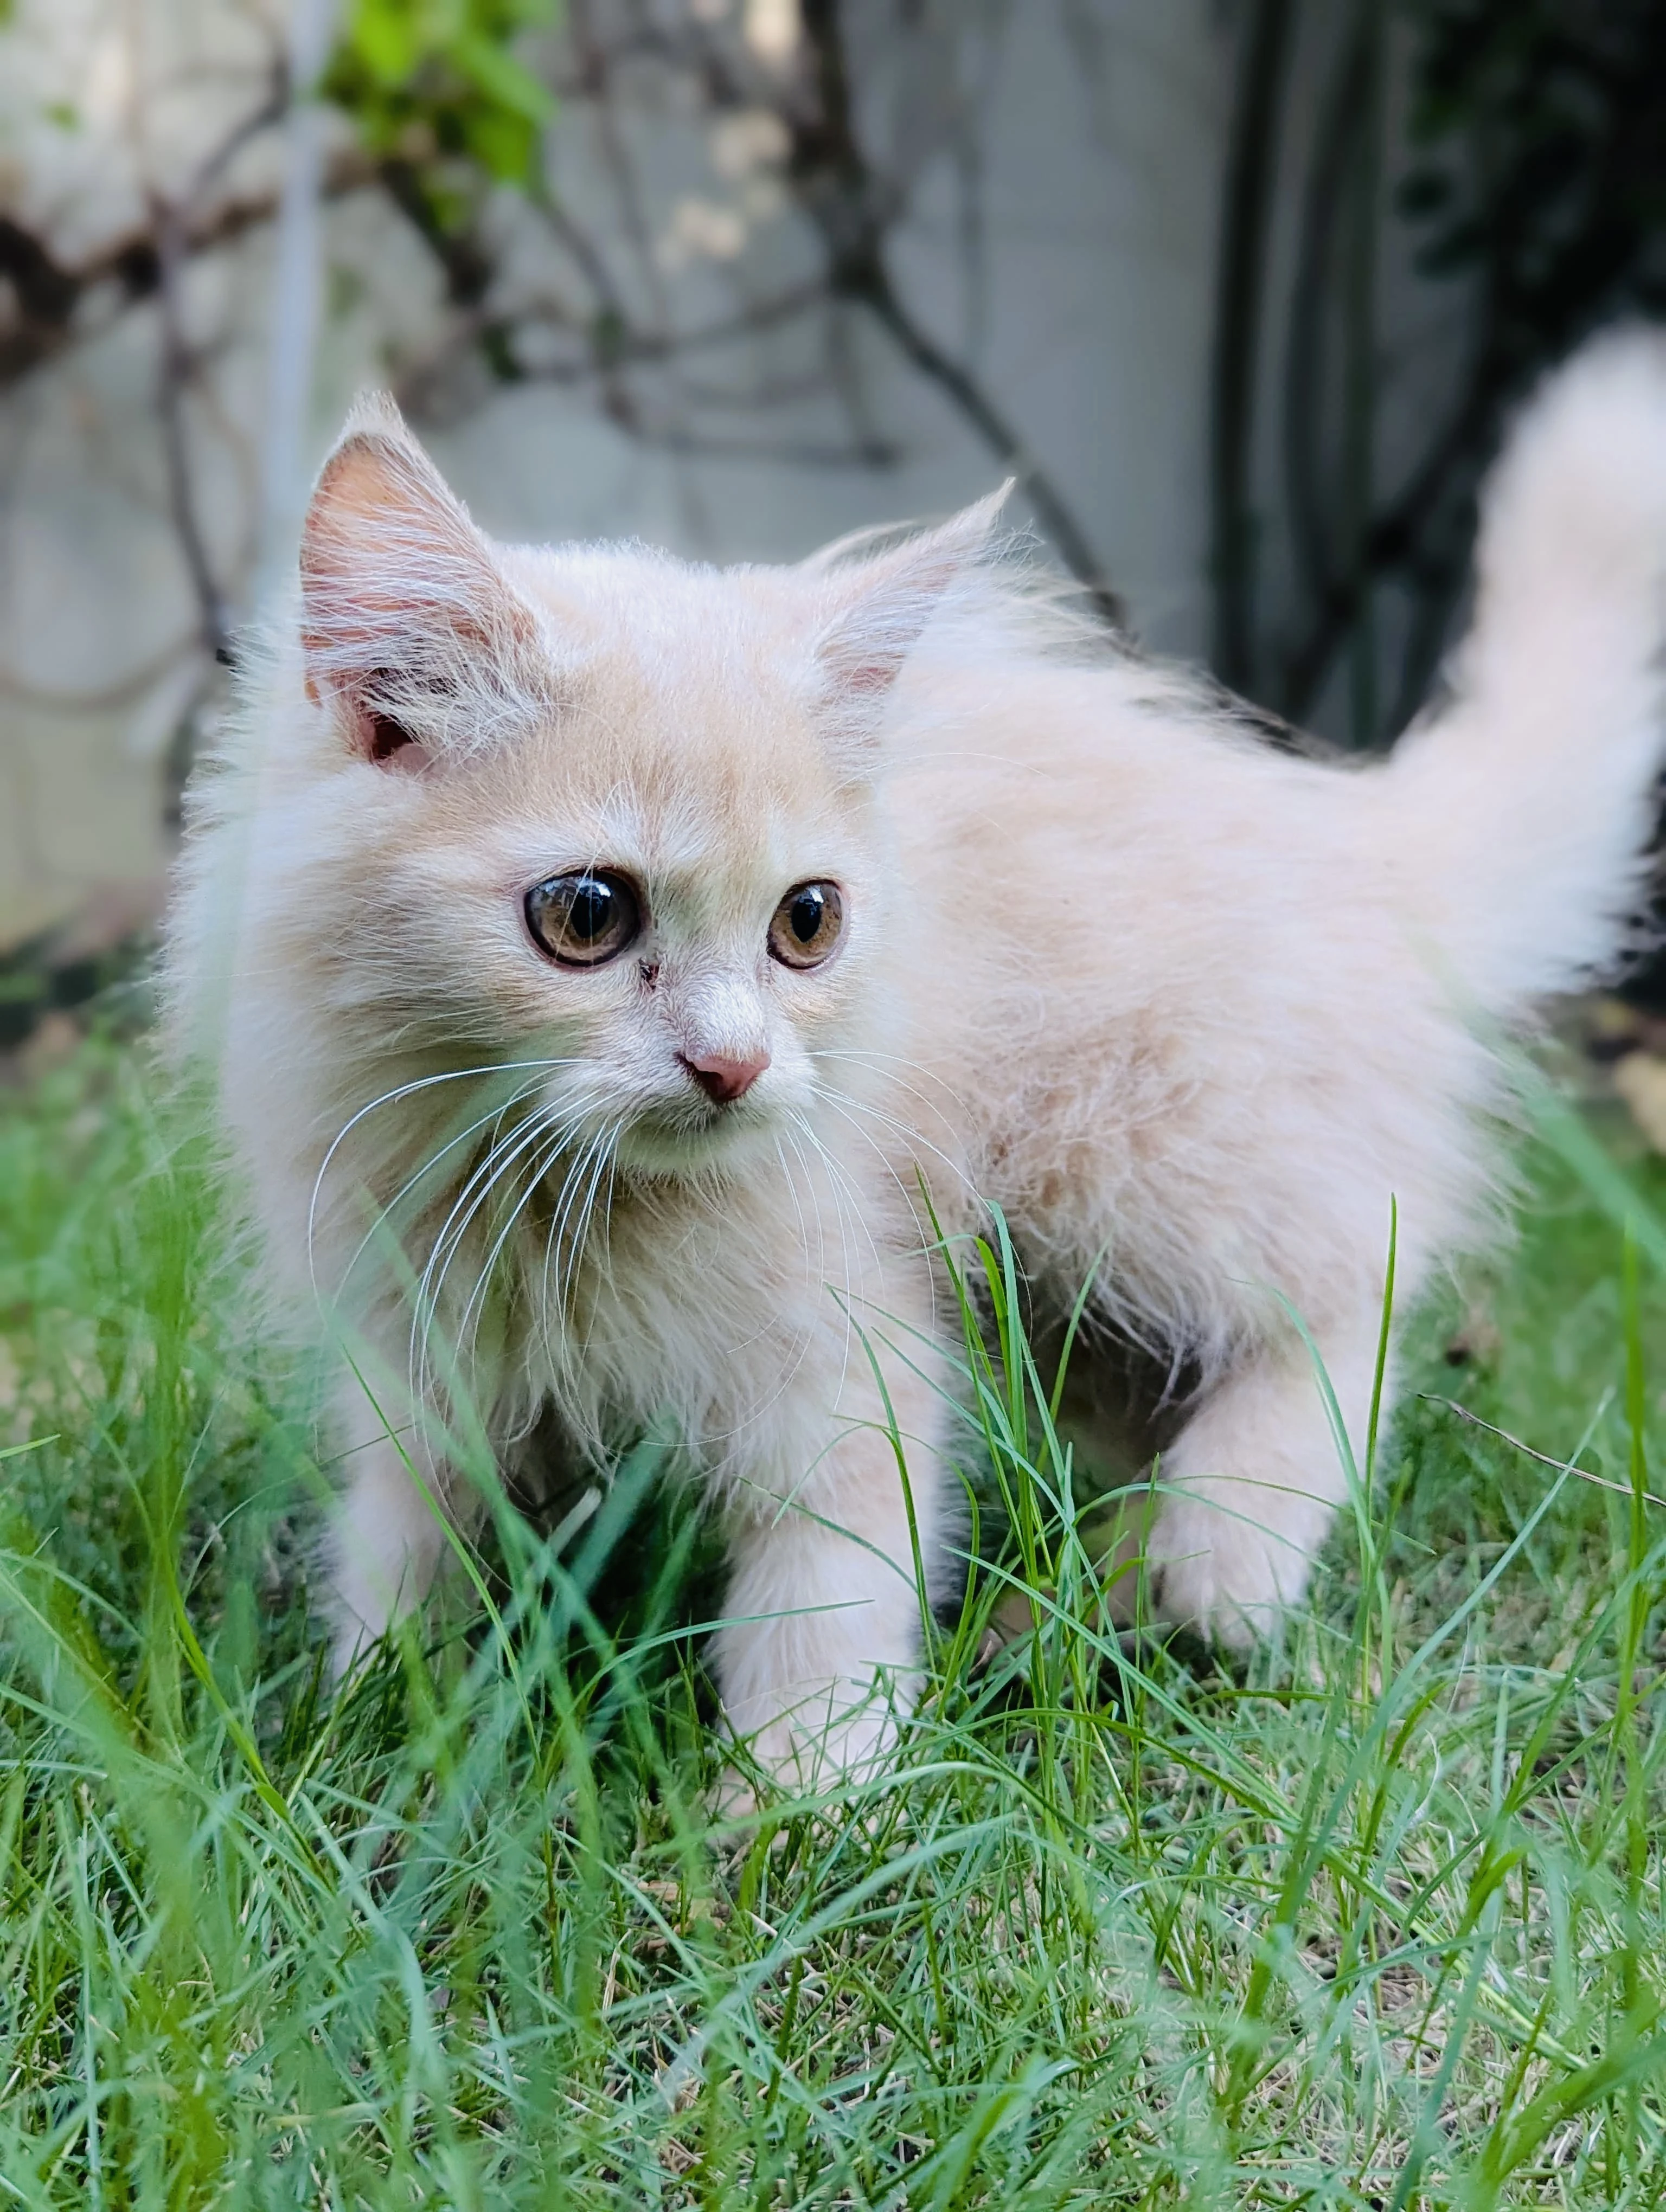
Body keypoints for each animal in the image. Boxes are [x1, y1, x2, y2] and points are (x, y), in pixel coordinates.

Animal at [165, 327, 1663, 1787]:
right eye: (585, 915)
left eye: (806, 923)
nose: (732, 1067)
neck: (544, 1198)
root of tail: (1347, 830)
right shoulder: (419, 1357)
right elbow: (408, 1544)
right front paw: (367, 1731)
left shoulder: (849, 1352)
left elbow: (823, 1602)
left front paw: (792, 1802)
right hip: (1083, 1301)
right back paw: (1081, 1601)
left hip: (1141, 1170)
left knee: (1353, 1284)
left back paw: (1218, 1557)